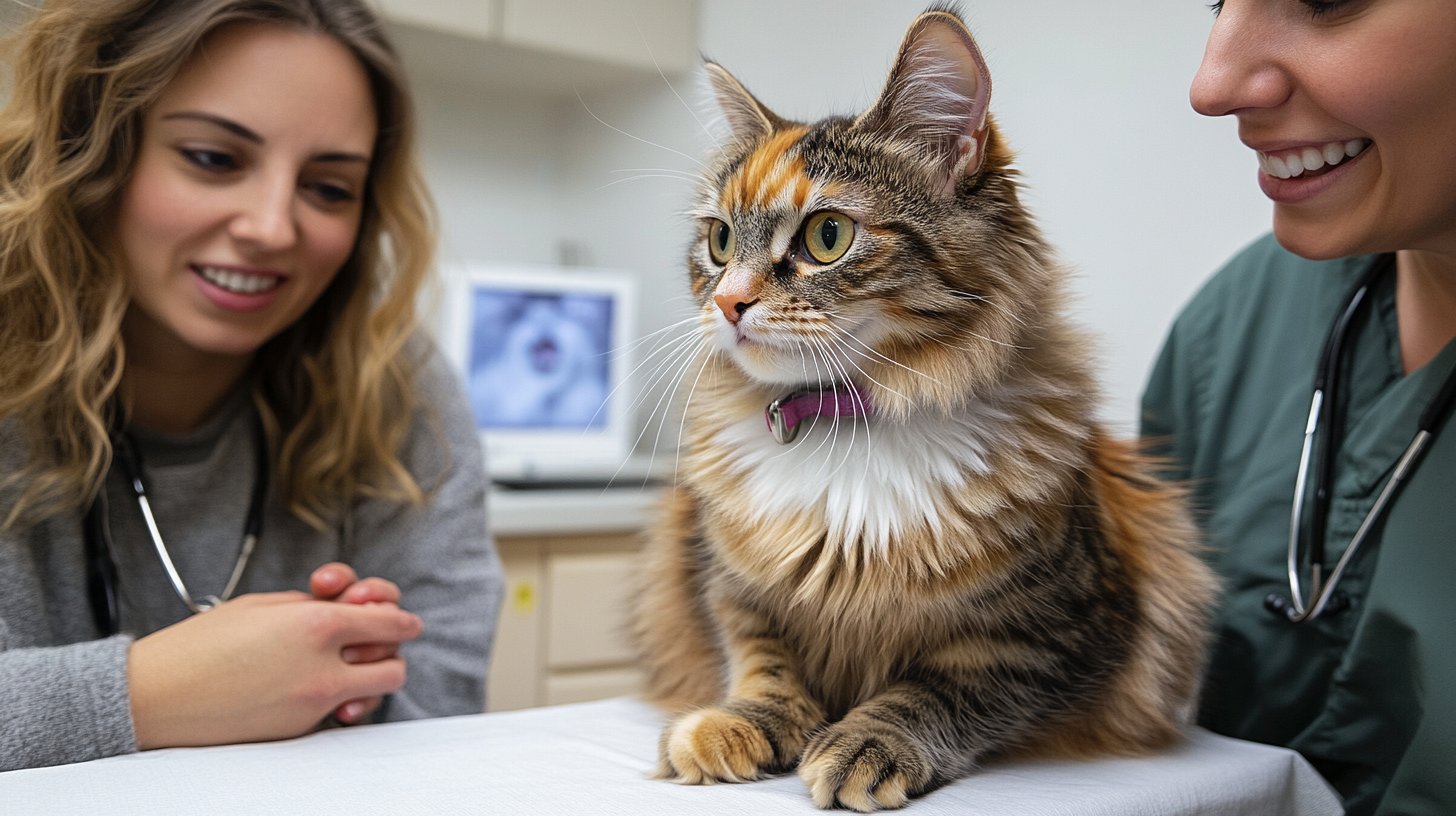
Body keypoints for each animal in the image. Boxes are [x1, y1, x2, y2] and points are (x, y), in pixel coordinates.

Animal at [626, 3, 1217, 810]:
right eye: (718, 242)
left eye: (827, 236)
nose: (727, 303)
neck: (845, 423)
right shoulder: (725, 582)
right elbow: (763, 662)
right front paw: (740, 725)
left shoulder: (1059, 627)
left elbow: (942, 688)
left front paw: (868, 743)